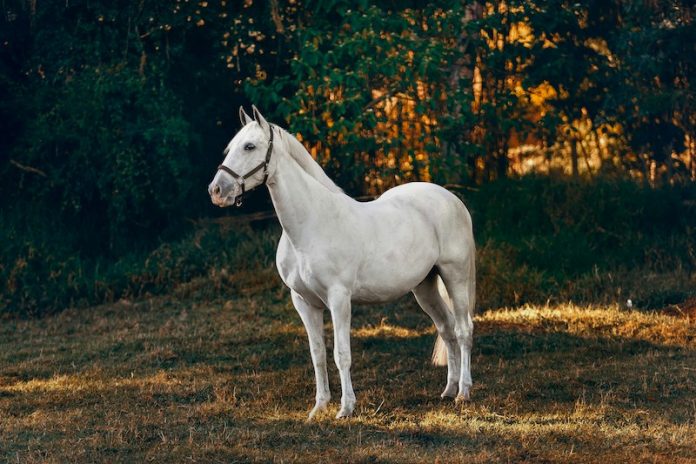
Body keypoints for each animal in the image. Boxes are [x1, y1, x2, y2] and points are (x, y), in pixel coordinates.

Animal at [208, 106, 476, 419]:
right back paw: (448, 390)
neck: (311, 224)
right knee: (446, 328)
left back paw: (463, 392)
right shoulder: (304, 302)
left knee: (463, 330)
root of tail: (452, 199)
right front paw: (319, 407)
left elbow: (341, 354)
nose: (216, 191)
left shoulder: (339, 298)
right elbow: (318, 354)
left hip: (454, 276)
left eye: (249, 146)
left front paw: (346, 408)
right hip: (425, 287)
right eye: (230, 148)